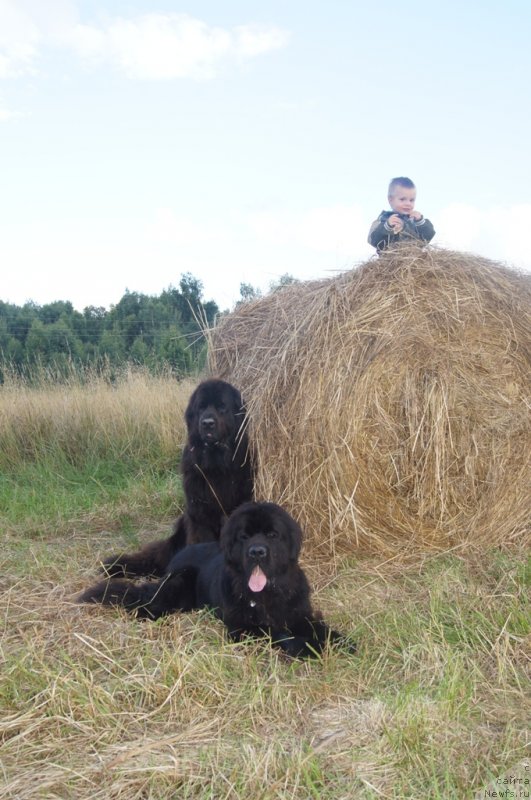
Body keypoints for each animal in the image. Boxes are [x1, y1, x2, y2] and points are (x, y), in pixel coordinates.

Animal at [79, 504, 356, 660]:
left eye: (272, 534)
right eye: (244, 536)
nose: (257, 552)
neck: (266, 595)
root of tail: (181, 551)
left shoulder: (299, 613)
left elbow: (318, 627)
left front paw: (341, 641)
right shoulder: (242, 628)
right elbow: (277, 633)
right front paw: (306, 647)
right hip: (178, 584)